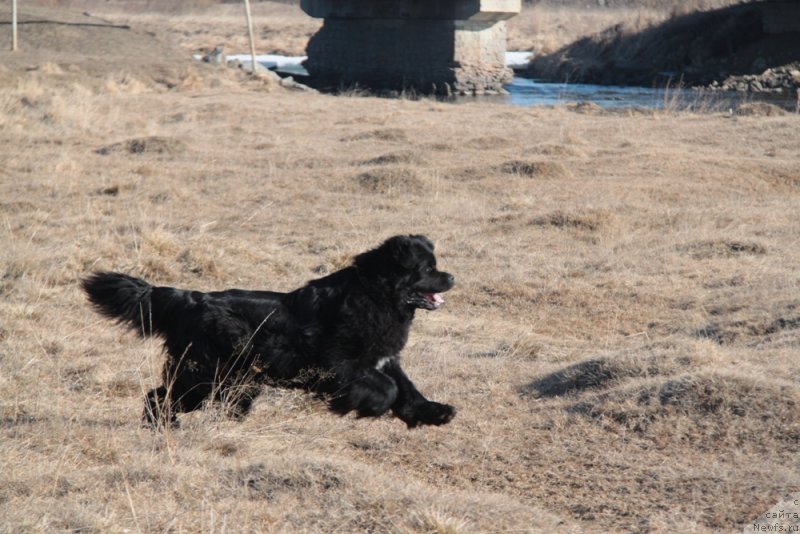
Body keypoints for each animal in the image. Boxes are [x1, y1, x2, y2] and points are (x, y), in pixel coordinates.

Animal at [83, 237, 456, 430]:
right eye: (428, 269)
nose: (452, 277)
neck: (376, 295)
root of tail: (190, 298)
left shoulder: (385, 358)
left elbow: (407, 388)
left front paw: (435, 412)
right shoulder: (339, 366)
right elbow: (387, 389)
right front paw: (365, 408)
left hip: (222, 376)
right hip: (204, 374)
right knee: (159, 396)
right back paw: (165, 427)